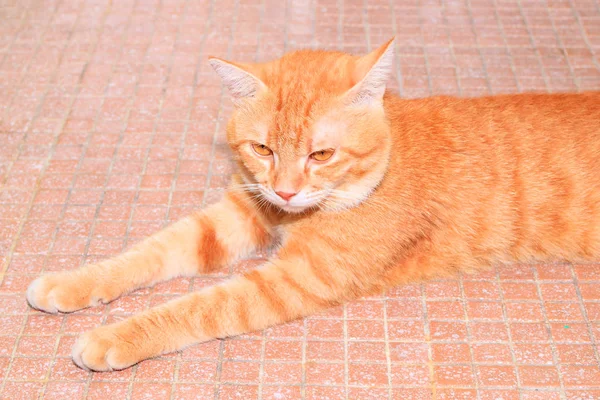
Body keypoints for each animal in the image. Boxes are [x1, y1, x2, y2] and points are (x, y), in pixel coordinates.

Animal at [27, 39, 600, 370]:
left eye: (320, 154)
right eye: (262, 149)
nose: (285, 191)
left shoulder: (296, 278)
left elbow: (199, 305)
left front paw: (115, 335)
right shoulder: (240, 214)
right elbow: (147, 253)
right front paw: (72, 283)